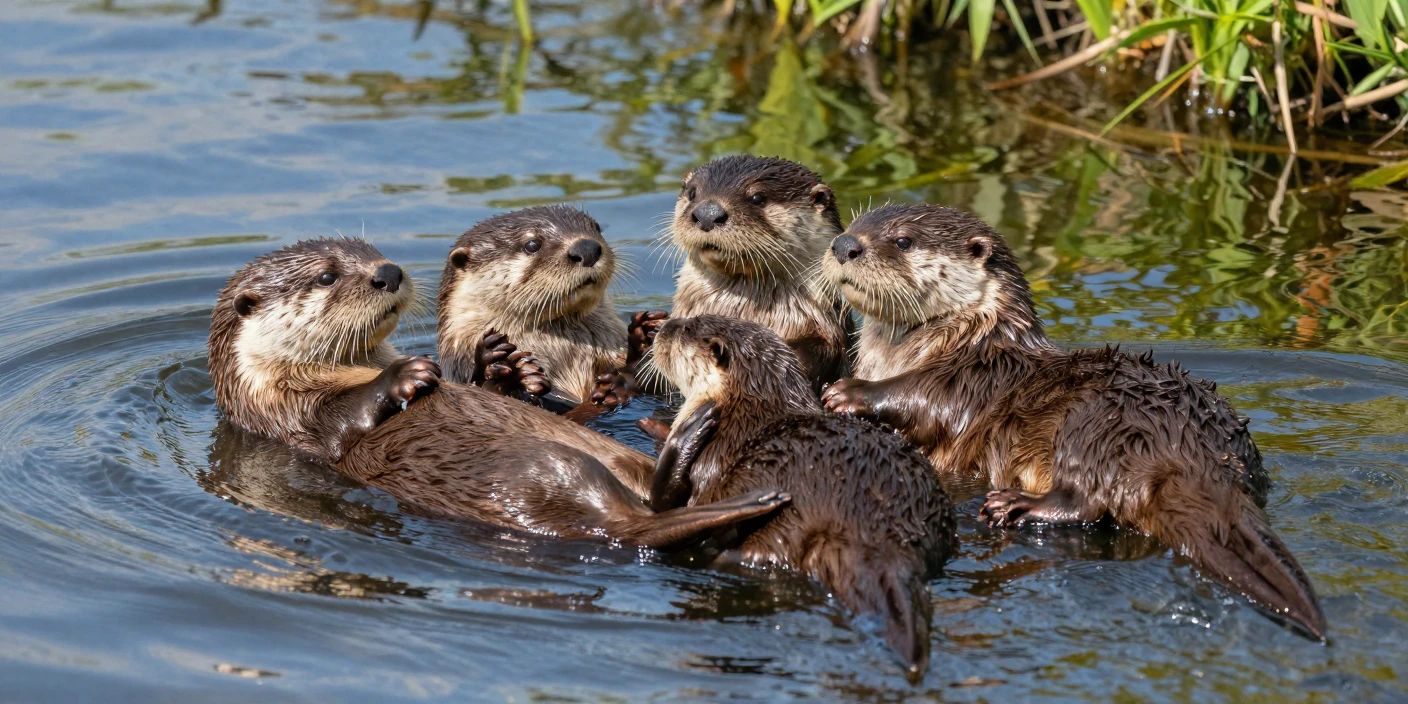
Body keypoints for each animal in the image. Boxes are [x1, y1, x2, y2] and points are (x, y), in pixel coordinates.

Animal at [207, 238, 786, 547]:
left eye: (374, 252)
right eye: (328, 276)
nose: (388, 272)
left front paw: (502, 371)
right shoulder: (287, 417)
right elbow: (338, 429)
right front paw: (407, 375)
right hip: (546, 474)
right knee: (642, 516)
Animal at [649, 314, 958, 678]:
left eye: (687, 328)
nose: (661, 328)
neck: (741, 405)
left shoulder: (709, 461)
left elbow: (666, 502)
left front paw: (687, 432)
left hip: (783, 516)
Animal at [818, 204, 1326, 640]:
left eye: (903, 240)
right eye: (855, 222)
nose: (845, 245)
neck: (962, 339)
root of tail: (1200, 450)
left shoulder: (972, 377)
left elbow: (923, 399)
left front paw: (851, 393)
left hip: (1093, 425)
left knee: (1090, 500)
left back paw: (1013, 505)